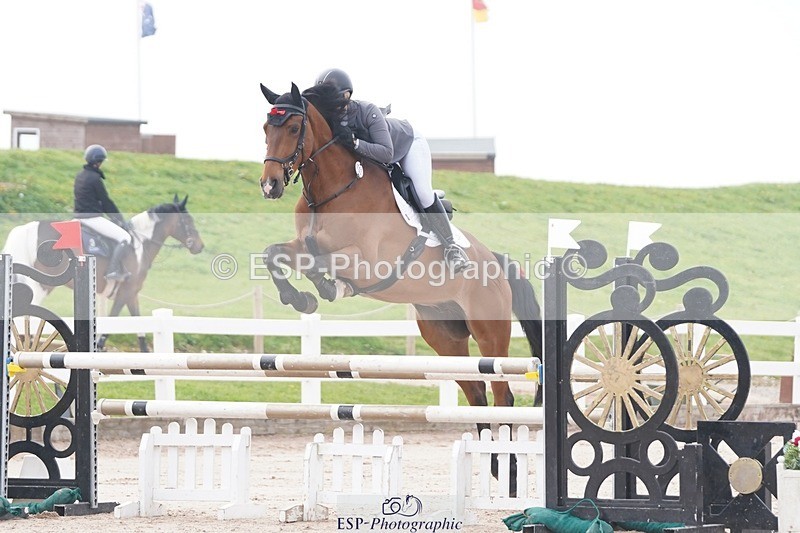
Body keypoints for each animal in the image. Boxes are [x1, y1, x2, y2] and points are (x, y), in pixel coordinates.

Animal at [2, 195, 204, 351]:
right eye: (188, 221)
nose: (200, 246)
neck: (140, 244)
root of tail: (28, 229)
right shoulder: (127, 292)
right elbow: (113, 321)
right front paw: (99, 347)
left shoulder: (125, 295)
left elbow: (136, 325)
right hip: (42, 285)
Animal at [257, 82, 543, 494]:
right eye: (266, 128)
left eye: (294, 128)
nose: (270, 184)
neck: (331, 190)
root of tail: (496, 261)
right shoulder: (303, 245)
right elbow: (275, 253)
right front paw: (301, 297)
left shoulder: (364, 259)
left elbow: (319, 259)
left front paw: (327, 289)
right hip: (445, 338)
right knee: (476, 394)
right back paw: (493, 466)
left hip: (490, 331)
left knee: (502, 394)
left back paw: (510, 474)